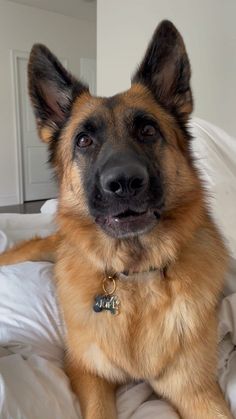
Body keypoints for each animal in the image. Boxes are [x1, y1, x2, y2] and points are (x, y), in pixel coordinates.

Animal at [0, 20, 232, 419]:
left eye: (148, 130)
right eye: (84, 140)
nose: (124, 182)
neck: (135, 276)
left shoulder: (197, 390)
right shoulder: (88, 372)